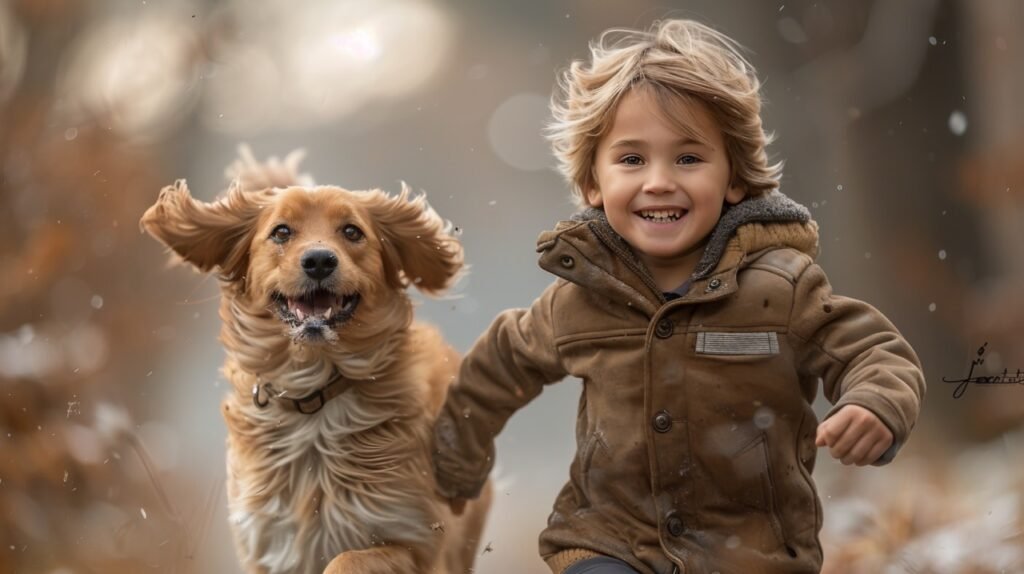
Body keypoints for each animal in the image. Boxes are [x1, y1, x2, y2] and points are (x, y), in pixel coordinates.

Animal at [140, 148, 491, 572]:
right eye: (281, 232)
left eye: (352, 232)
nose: (320, 260)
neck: (315, 394)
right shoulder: (269, 544)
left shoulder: (418, 541)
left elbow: (346, 560)